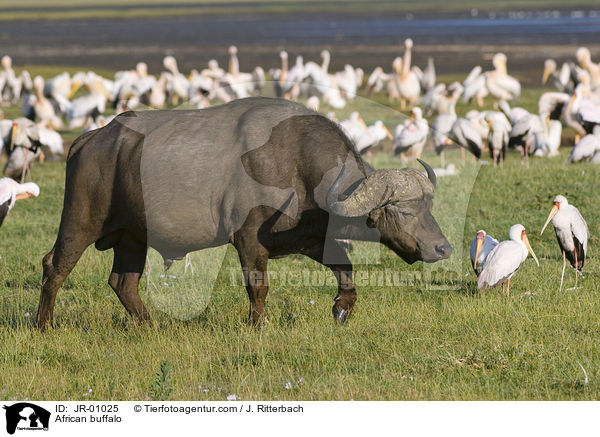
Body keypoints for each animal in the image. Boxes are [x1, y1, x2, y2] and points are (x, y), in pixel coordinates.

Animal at [36, 97, 450, 328]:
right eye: (402, 210)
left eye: (429, 206)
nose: (442, 248)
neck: (297, 166)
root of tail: (91, 139)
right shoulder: (249, 240)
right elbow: (258, 287)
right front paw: (257, 327)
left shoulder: (310, 238)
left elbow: (344, 269)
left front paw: (341, 311)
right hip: (81, 219)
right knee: (55, 265)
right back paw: (44, 325)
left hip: (132, 236)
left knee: (123, 283)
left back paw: (151, 326)